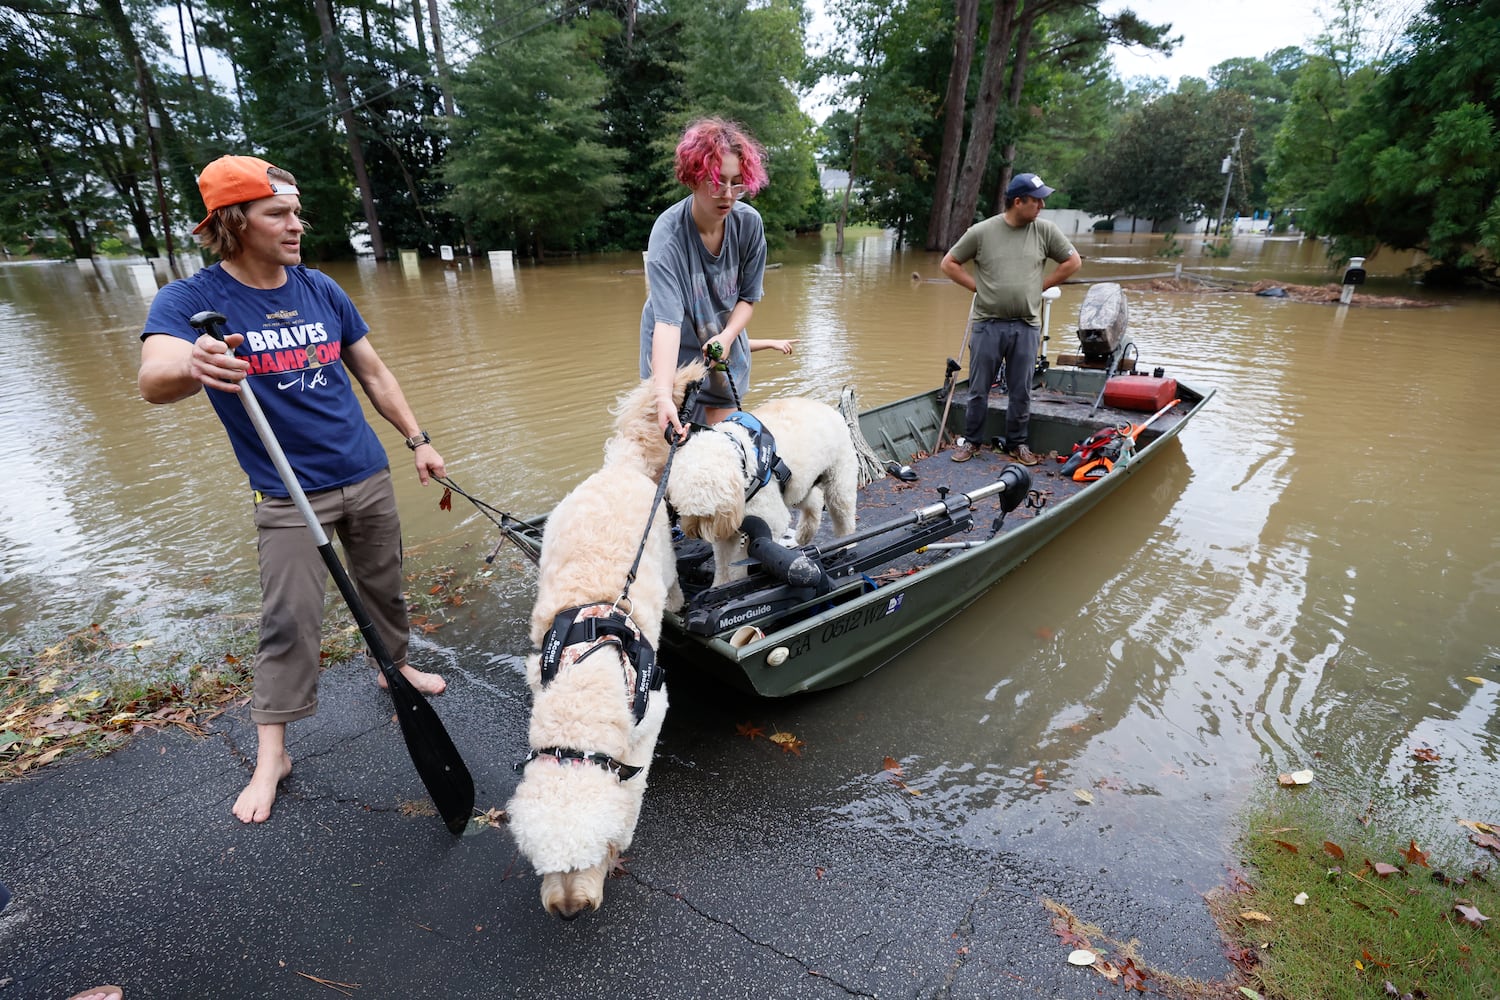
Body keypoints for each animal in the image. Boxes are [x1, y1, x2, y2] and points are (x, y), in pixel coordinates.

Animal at [501, 364, 693, 917]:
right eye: (544, 864)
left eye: (587, 858)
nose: (568, 912)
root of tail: (621, 465)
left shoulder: (652, 711)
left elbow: (634, 782)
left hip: (664, 556)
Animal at [666, 395, 858, 587]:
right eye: (682, 512)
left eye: (705, 513)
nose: (696, 533)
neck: (740, 452)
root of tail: (831, 410)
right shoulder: (725, 530)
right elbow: (722, 561)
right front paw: (720, 584)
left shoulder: (767, 520)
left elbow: (739, 561)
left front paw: (737, 580)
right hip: (797, 485)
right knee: (815, 500)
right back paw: (804, 535)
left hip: (838, 480)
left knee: (843, 516)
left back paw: (846, 544)